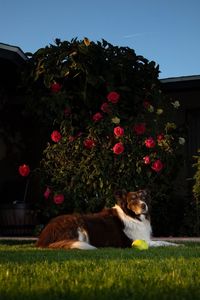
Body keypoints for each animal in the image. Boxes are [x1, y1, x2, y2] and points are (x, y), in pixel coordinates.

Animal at [35, 190, 177, 248]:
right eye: (133, 199)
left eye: (144, 198)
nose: (144, 206)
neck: (132, 216)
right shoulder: (133, 241)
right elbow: (159, 243)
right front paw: (176, 246)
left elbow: (162, 241)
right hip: (78, 224)